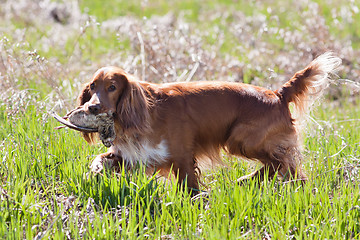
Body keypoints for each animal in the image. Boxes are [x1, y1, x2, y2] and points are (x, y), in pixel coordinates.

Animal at [78, 53, 340, 195]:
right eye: (92, 87)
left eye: (112, 87)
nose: (92, 107)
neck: (146, 112)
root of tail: (278, 94)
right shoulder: (130, 155)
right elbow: (99, 160)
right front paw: (94, 173)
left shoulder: (182, 156)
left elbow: (189, 186)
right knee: (286, 168)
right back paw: (250, 181)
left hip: (240, 140)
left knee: (283, 163)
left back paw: (247, 180)